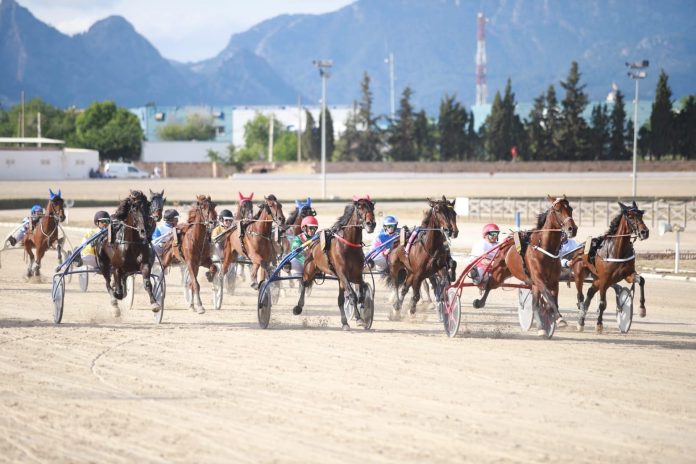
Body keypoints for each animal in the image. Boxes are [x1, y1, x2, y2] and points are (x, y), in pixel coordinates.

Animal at [94, 190, 159, 318]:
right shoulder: (116, 268)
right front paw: (116, 298)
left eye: (147, 208)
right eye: (134, 208)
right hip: (103, 265)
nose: (144, 231)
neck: (132, 245)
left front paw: (154, 304)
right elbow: (118, 291)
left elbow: (147, 283)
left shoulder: (144, 264)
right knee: (108, 284)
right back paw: (114, 305)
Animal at [290, 196, 376, 330]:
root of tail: (312, 242)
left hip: (339, 280)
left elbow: (361, 292)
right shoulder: (342, 273)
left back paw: (345, 323)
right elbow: (352, 295)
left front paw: (362, 312)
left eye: (372, 207)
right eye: (360, 207)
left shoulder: (356, 274)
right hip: (310, 268)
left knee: (340, 300)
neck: (349, 245)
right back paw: (298, 308)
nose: (371, 224)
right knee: (304, 283)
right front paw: (359, 319)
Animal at [572, 201, 648, 332]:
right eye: (630, 216)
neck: (617, 250)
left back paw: (582, 320)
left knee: (590, 293)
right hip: (579, 276)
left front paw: (642, 309)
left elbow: (641, 280)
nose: (645, 232)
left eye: (641, 215)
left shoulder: (628, 275)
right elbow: (602, 303)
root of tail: (579, 249)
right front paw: (599, 324)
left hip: (597, 279)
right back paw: (580, 320)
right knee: (580, 296)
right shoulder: (604, 279)